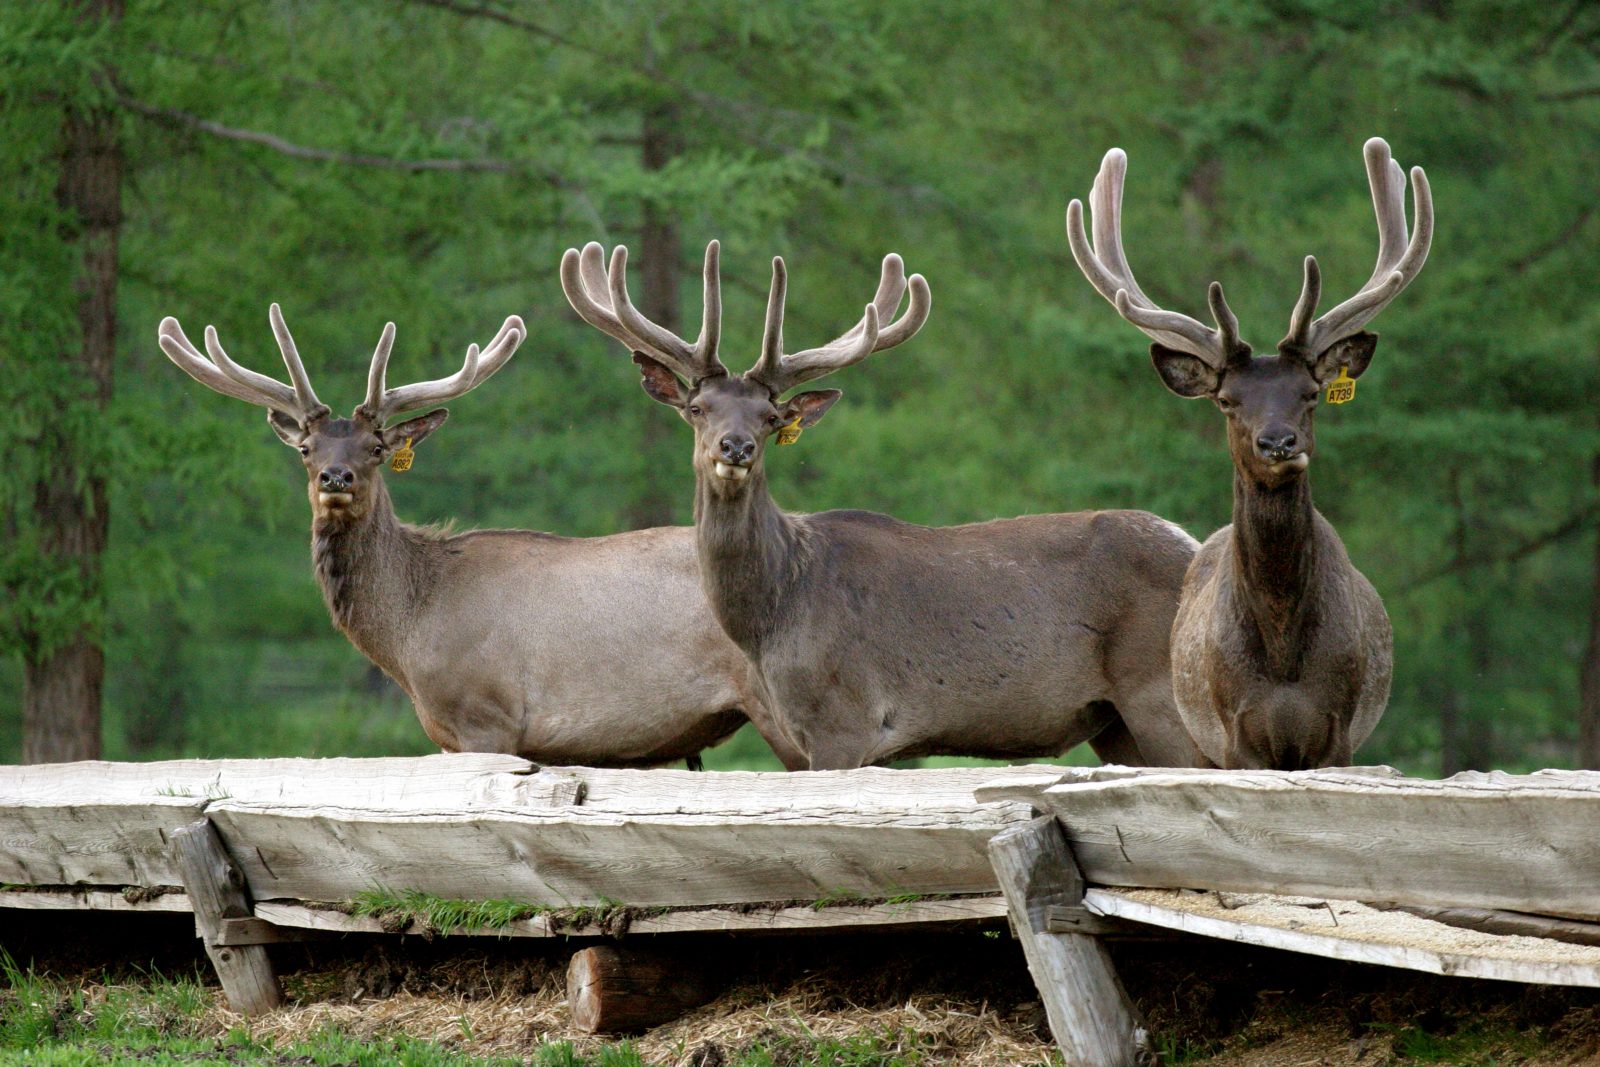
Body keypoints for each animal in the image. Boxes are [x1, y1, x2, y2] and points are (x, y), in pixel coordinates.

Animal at [157, 307, 806, 767]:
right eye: (306, 449)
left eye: (375, 447)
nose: (335, 477)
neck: (410, 631)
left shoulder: (486, 718)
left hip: (783, 703)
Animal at [563, 238, 1209, 771]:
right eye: (698, 408)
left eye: (770, 417)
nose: (736, 446)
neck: (773, 617)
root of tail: (1195, 545)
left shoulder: (845, 719)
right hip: (1115, 721)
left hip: (1162, 696)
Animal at [1068, 137, 1433, 767]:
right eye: (1226, 400)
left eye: (1311, 393)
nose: (1278, 442)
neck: (1284, 660)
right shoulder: (1234, 734)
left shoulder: (1340, 733)